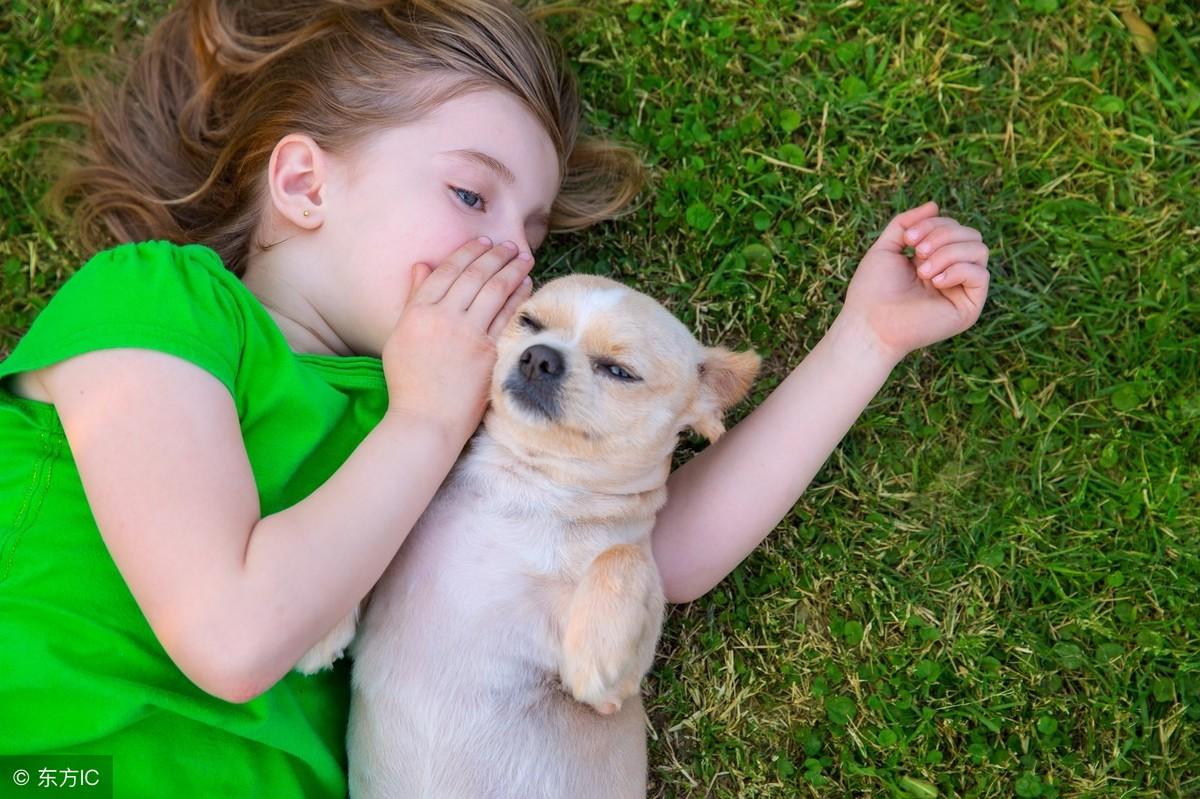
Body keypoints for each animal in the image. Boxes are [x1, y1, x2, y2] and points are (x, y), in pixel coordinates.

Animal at [297, 271, 758, 791]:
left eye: (619, 371)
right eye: (529, 322)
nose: (540, 355)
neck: (525, 486)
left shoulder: (615, 691)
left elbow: (623, 555)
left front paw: (595, 651)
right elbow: (370, 544)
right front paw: (320, 623)